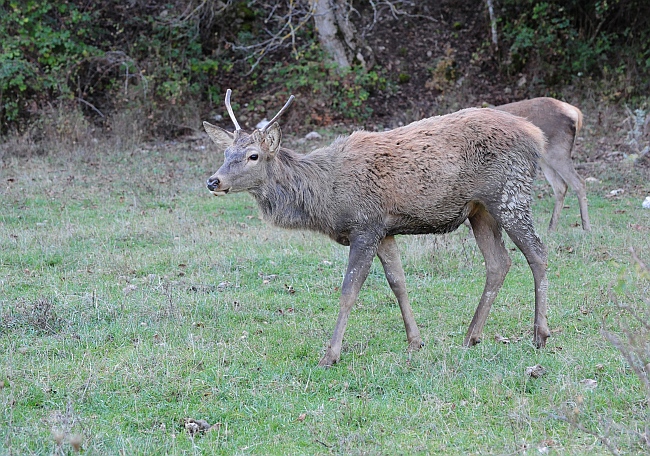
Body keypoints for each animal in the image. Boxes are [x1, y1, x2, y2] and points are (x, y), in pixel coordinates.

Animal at [202, 89, 548, 366]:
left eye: (253, 155)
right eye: (226, 153)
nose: (213, 181)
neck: (325, 196)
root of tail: (537, 137)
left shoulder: (365, 227)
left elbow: (348, 291)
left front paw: (330, 355)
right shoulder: (385, 231)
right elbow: (398, 283)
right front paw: (415, 342)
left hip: (510, 192)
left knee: (538, 253)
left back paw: (539, 335)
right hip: (480, 210)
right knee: (499, 262)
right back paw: (471, 336)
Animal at [494, 97, 588, 232]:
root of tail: (576, 113)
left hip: (557, 151)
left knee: (578, 182)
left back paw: (586, 228)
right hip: (544, 158)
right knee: (561, 186)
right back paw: (551, 229)